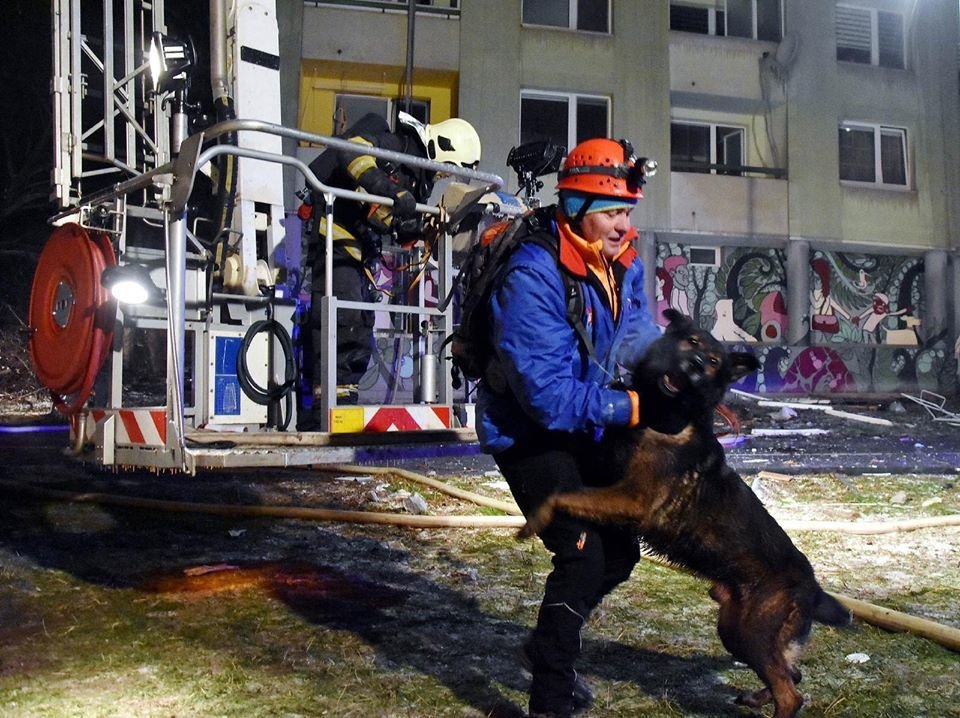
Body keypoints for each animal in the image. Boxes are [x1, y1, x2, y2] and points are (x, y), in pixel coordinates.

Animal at [520, 310, 852, 718]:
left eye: (711, 361)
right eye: (691, 342)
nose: (694, 365)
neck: (668, 413)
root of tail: (812, 587)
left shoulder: (632, 498)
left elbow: (561, 495)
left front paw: (532, 521)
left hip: (749, 633)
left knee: (791, 692)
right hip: (734, 627)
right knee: (792, 673)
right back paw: (756, 696)